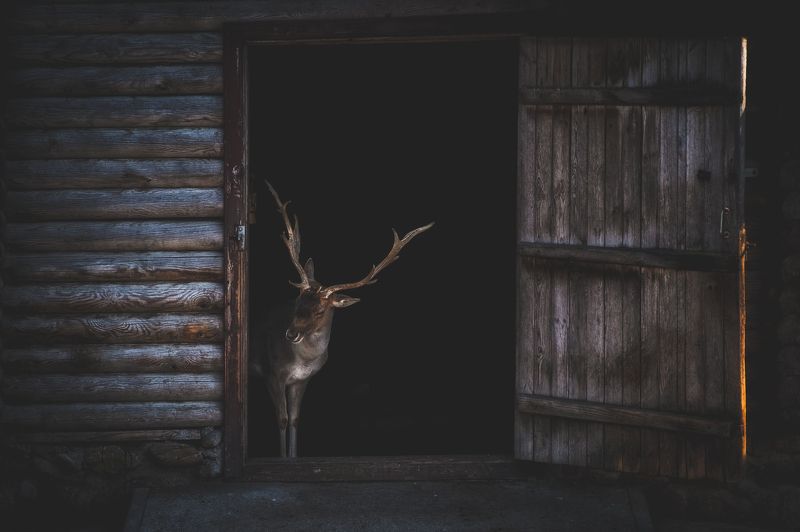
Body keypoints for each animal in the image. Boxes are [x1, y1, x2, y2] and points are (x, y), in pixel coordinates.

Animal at [253, 181, 433, 458]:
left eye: (320, 311)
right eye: (296, 302)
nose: (291, 334)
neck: (301, 360)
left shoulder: (301, 379)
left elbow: (294, 420)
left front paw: (292, 458)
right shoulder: (272, 372)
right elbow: (282, 420)